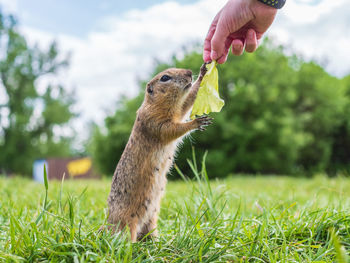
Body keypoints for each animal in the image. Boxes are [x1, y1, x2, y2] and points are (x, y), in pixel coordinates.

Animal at [105, 63, 212, 242]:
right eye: (165, 78)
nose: (189, 72)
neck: (155, 104)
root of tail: (107, 225)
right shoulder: (154, 121)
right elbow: (171, 129)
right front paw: (196, 122)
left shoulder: (178, 111)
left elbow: (186, 104)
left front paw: (203, 72)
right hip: (127, 223)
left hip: (152, 216)